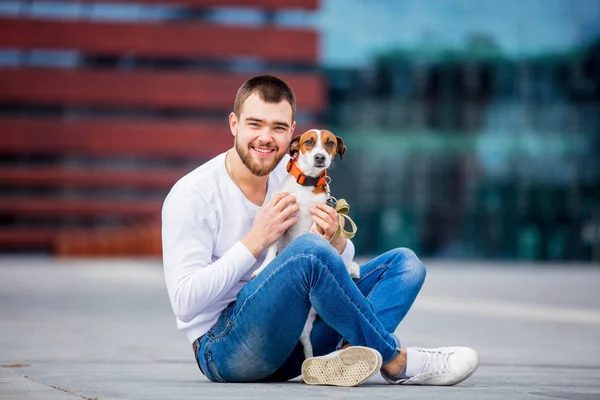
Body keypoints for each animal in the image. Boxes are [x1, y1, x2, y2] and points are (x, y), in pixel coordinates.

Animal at [251, 130, 358, 358]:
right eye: (308, 142)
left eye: (330, 143)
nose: (320, 157)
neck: (306, 184)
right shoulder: (280, 217)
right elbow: (271, 250)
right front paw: (262, 269)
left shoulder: (320, 218)